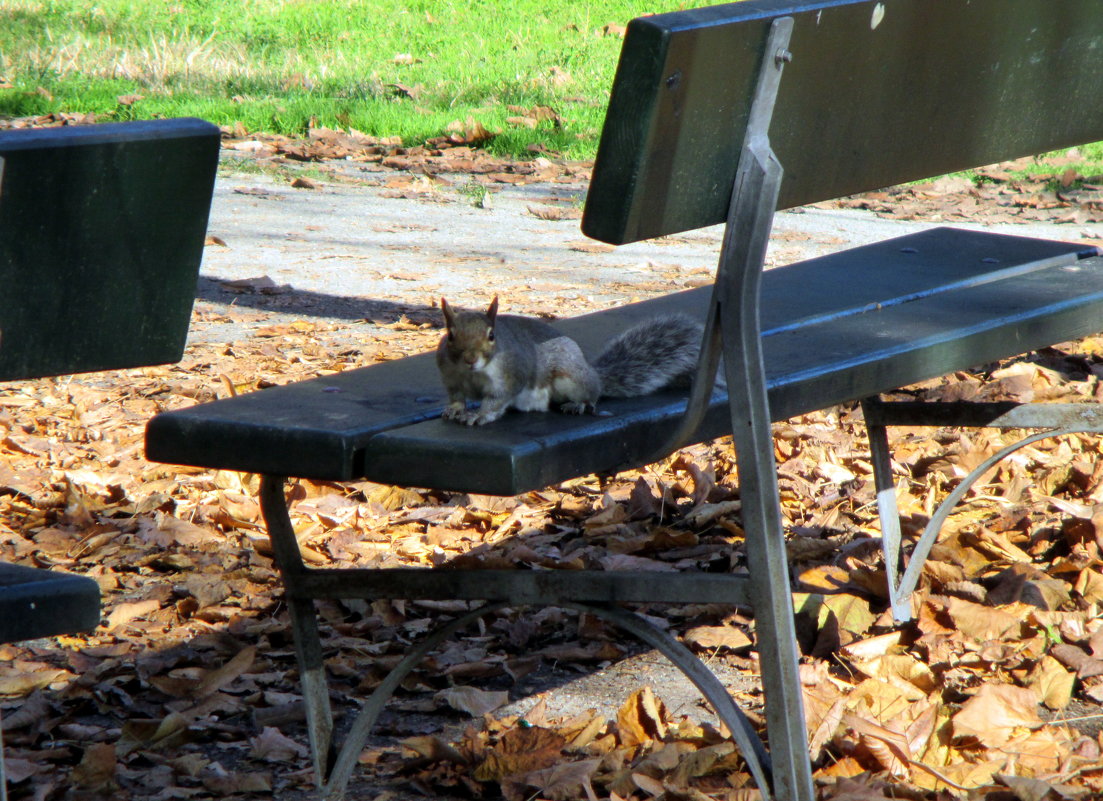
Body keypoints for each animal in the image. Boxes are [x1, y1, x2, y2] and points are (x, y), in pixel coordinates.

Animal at [434, 295, 710, 425]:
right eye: (450, 335)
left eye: (492, 336)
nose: (470, 359)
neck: (472, 374)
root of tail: (594, 374)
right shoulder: (450, 377)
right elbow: (456, 396)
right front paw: (455, 409)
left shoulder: (511, 375)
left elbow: (496, 399)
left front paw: (479, 415)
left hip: (570, 376)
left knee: (591, 395)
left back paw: (578, 404)